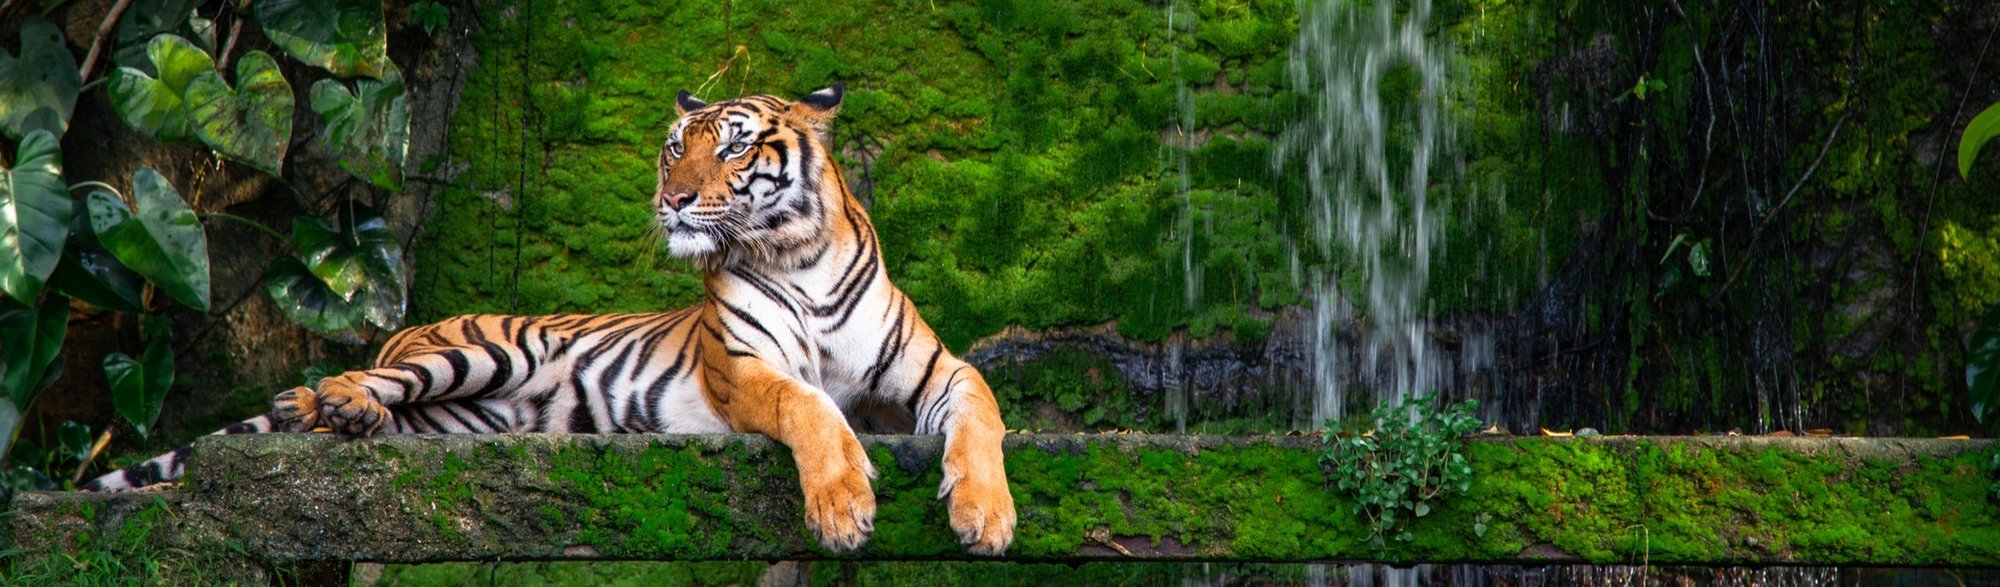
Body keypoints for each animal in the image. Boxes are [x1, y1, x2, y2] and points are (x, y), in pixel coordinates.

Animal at [85, 84, 1018, 555]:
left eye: (736, 144)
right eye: (676, 146)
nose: (674, 199)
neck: (799, 253)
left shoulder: (936, 371)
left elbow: (983, 415)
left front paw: (987, 515)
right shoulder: (746, 370)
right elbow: (812, 406)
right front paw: (842, 507)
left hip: (459, 416)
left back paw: (342, 419)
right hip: (470, 354)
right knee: (349, 381)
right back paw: (330, 401)